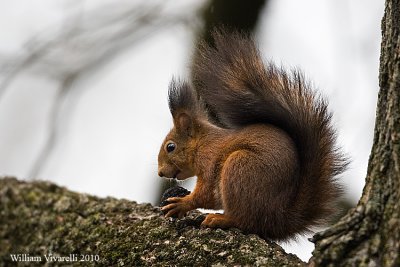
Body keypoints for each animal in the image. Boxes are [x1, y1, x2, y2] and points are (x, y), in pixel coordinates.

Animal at [159, 30, 346, 242]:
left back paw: (221, 219)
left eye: (170, 147)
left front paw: (182, 203)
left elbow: (206, 194)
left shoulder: (208, 160)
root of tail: (278, 219)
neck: (203, 143)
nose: (160, 173)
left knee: (245, 220)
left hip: (241, 168)